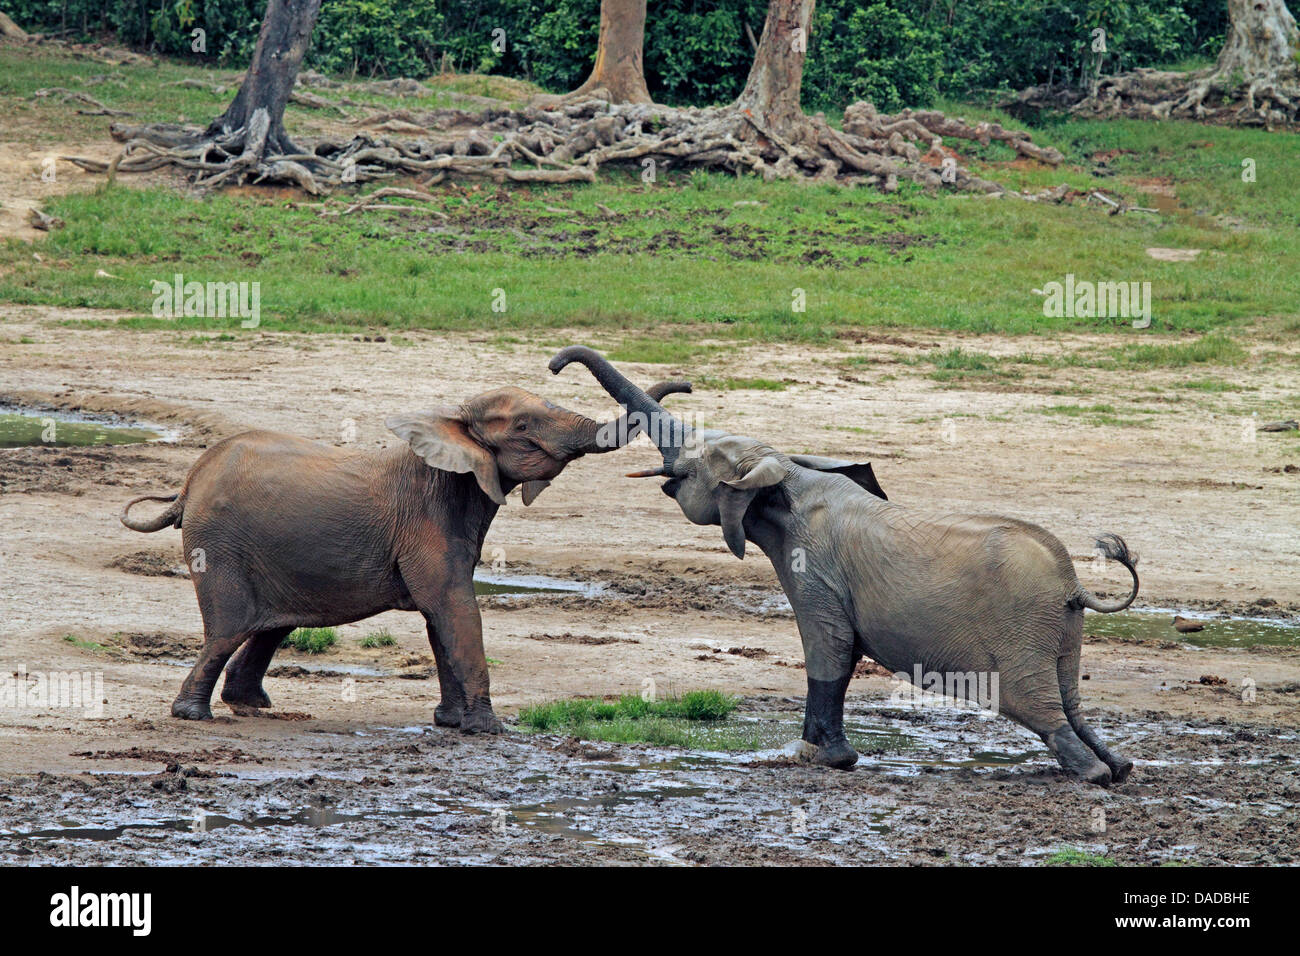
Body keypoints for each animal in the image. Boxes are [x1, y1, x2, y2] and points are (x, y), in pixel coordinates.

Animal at [122, 377, 691, 728]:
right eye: (523, 427)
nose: (685, 385)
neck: (450, 422)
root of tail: (189, 483)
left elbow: (442, 619)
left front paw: (451, 723)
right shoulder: (427, 522)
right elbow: (454, 607)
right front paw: (488, 728)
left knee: (271, 625)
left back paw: (252, 706)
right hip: (219, 545)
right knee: (229, 627)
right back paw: (194, 715)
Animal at [548, 348, 1138, 790]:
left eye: (691, 467)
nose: (553, 366)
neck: (786, 475)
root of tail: (1074, 583)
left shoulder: (813, 568)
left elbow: (828, 646)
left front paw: (814, 758)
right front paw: (817, 754)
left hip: (1021, 631)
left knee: (1037, 705)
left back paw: (1091, 775)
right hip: (1058, 630)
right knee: (1069, 699)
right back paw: (1118, 767)